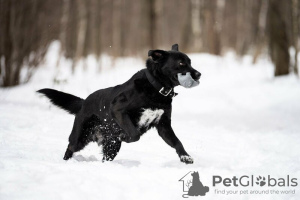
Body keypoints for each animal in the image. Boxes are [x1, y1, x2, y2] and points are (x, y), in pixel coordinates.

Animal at [38, 44, 202, 164]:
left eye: (190, 62)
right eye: (181, 63)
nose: (199, 74)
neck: (155, 88)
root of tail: (84, 102)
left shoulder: (163, 125)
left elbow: (177, 142)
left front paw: (185, 157)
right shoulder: (118, 110)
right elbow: (135, 134)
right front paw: (125, 137)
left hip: (110, 148)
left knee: (105, 157)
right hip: (80, 137)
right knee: (70, 147)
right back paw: (66, 162)